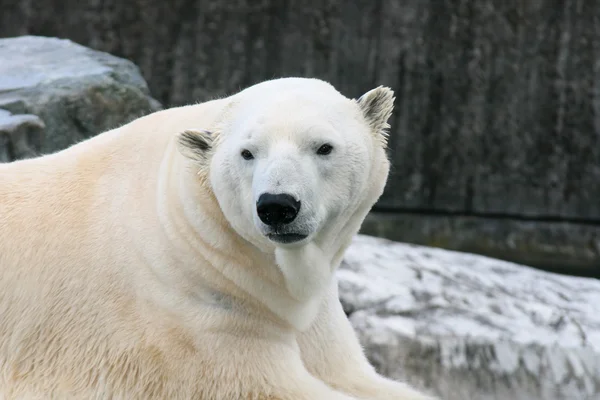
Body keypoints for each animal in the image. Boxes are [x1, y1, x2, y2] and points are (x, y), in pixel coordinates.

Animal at [0, 78, 434, 400]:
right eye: (247, 153)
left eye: (323, 147)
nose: (277, 205)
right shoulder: (193, 320)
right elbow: (268, 383)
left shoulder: (316, 315)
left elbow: (352, 373)